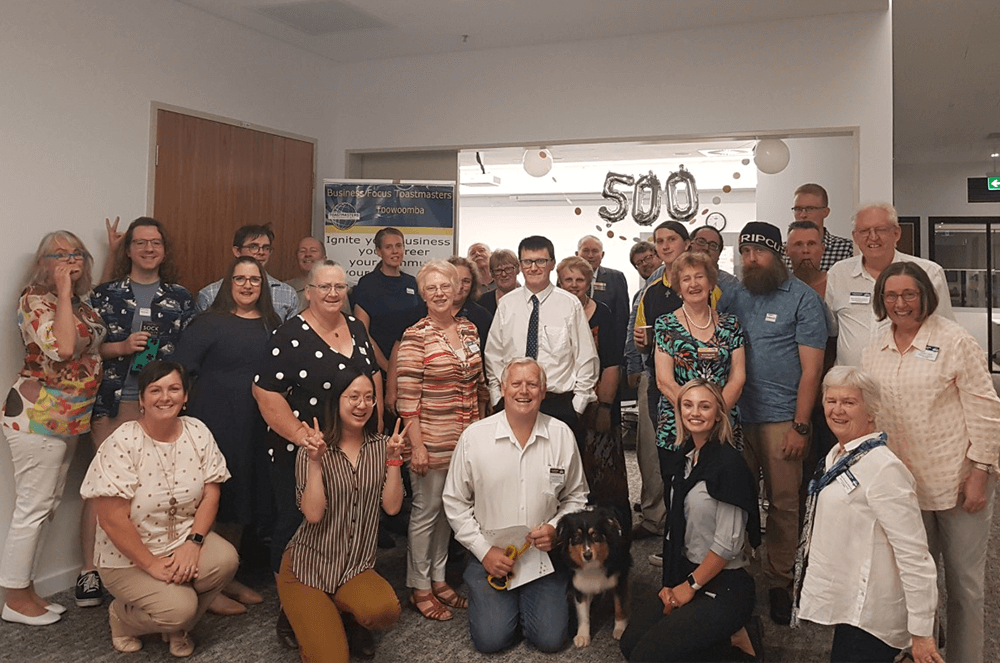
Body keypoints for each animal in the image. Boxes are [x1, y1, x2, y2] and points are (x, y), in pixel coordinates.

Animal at [556, 508, 632, 648]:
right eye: (576, 537)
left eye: (595, 535)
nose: (587, 555)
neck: (592, 566)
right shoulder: (579, 586)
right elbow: (583, 614)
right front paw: (582, 636)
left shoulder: (620, 579)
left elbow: (620, 607)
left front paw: (620, 629)